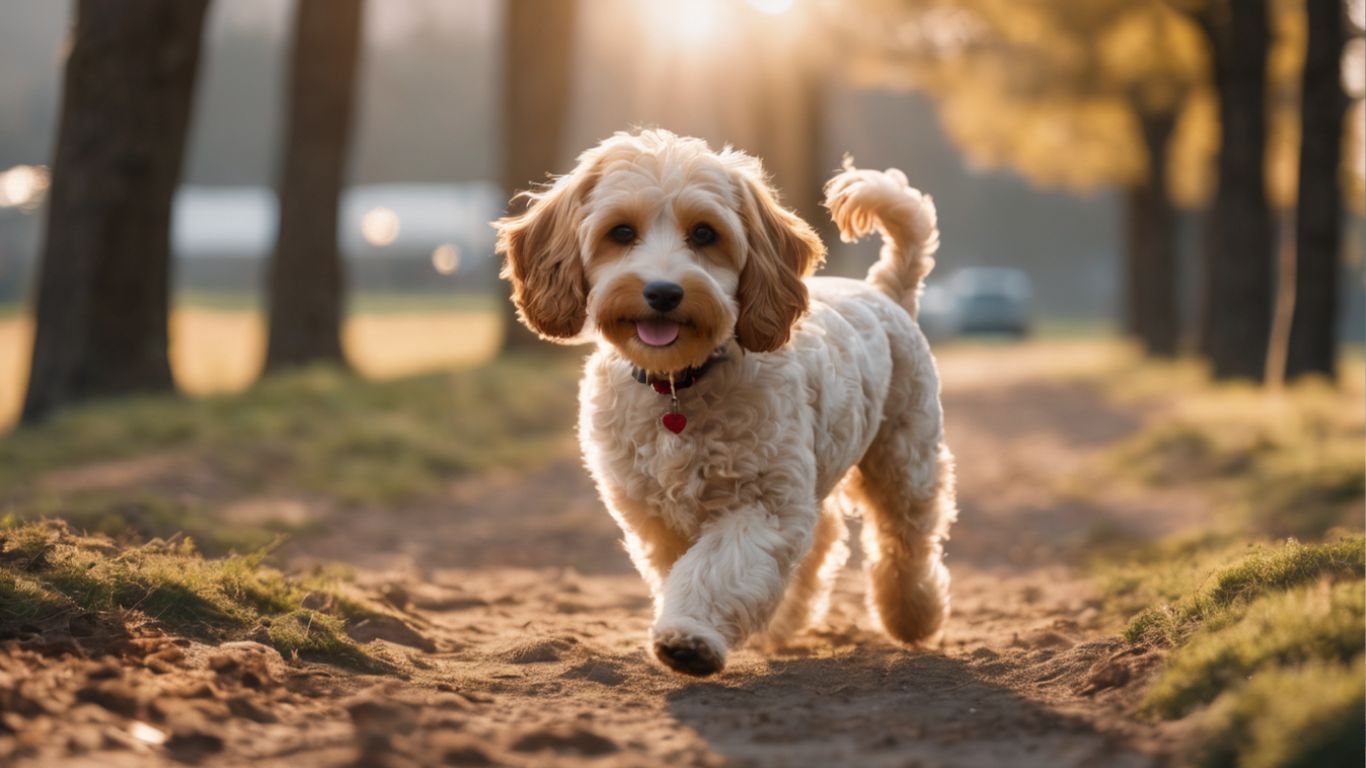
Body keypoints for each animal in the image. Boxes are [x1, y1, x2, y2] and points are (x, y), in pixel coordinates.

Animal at [497, 131, 956, 675]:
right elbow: (690, 570)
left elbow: (717, 570)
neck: (678, 387)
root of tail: (884, 292)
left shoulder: (759, 506)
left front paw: (690, 638)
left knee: (905, 541)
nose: (663, 292)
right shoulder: (655, 519)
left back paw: (912, 615)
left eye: (704, 234)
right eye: (621, 231)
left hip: (904, 460)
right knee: (823, 542)